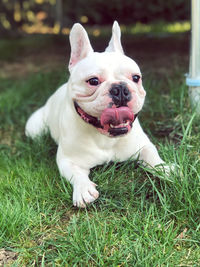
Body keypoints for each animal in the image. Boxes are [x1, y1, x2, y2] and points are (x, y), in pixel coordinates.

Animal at [25, 22, 168, 208]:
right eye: (93, 81)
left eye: (136, 78)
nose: (120, 89)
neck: (105, 138)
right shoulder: (68, 160)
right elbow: (77, 175)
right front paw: (83, 189)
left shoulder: (143, 146)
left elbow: (153, 157)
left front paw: (167, 169)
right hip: (33, 128)